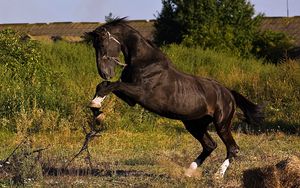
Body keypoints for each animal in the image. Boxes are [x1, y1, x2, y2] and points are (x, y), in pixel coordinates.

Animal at [86, 17, 262, 178]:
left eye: (102, 44)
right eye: (95, 46)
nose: (104, 72)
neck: (145, 62)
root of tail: (229, 93)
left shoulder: (140, 92)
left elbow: (113, 85)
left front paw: (96, 106)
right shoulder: (131, 100)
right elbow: (104, 86)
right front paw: (97, 109)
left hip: (222, 124)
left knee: (232, 148)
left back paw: (217, 175)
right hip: (194, 124)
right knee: (210, 145)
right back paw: (189, 172)